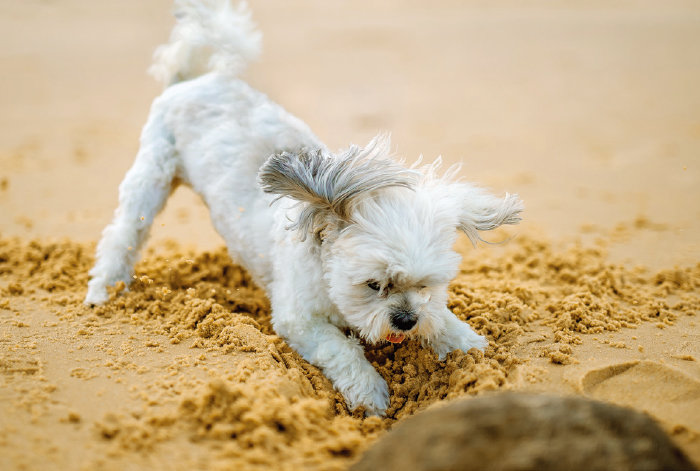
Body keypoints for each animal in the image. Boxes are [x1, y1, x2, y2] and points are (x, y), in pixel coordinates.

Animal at [85, 1, 524, 418]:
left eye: (426, 285)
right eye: (373, 285)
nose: (405, 320)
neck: (325, 264)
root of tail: (200, 79)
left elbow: (443, 321)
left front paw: (469, 345)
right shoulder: (301, 320)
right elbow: (343, 351)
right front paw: (371, 394)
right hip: (150, 177)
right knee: (122, 235)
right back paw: (104, 290)